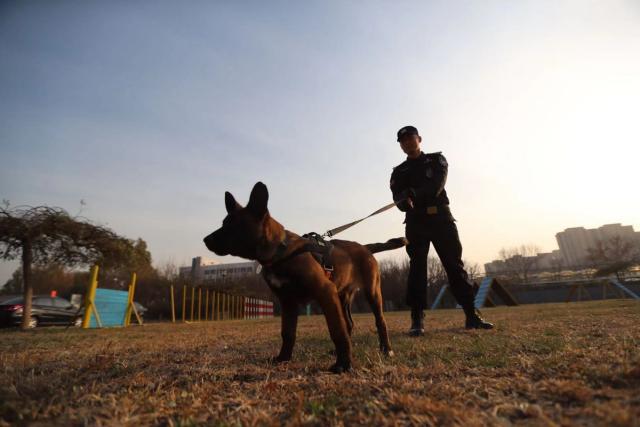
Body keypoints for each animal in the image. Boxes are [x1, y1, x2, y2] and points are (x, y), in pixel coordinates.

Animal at [202, 182, 408, 372]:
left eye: (232, 225)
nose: (205, 240)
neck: (281, 252)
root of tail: (365, 248)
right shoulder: (288, 302)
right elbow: (288, 333)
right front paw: (283, 358)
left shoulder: (325, 292)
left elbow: (336, 330)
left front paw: (344, 365)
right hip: (342, 296)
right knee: (348, 323)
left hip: (372, 292)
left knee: (379, 322)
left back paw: (386, 350)